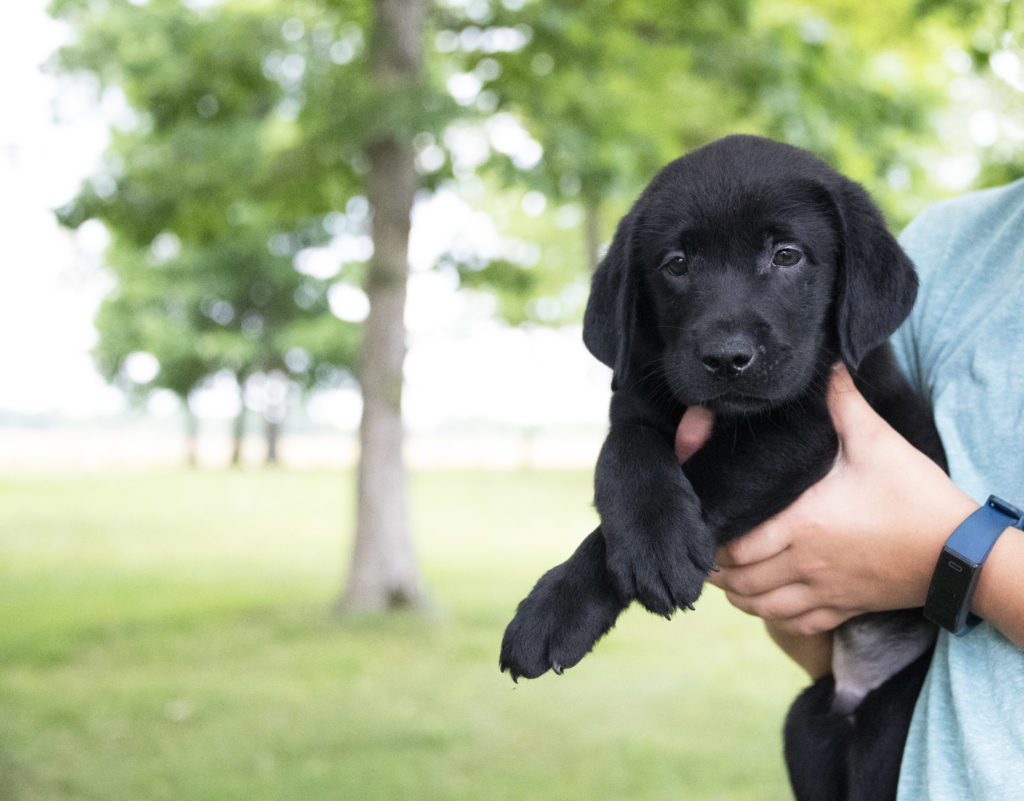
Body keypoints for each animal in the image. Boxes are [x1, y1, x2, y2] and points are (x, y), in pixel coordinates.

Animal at [499, 136, 946, 801]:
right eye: (676, 264)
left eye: (787, 256)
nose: (726, 358)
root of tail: (855, 688)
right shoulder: (636, 398)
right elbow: (623, 460)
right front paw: (633, 548)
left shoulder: (800, 427)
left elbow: (707, 476)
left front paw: (583, 594)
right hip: (806, 725)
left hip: (894, 728)